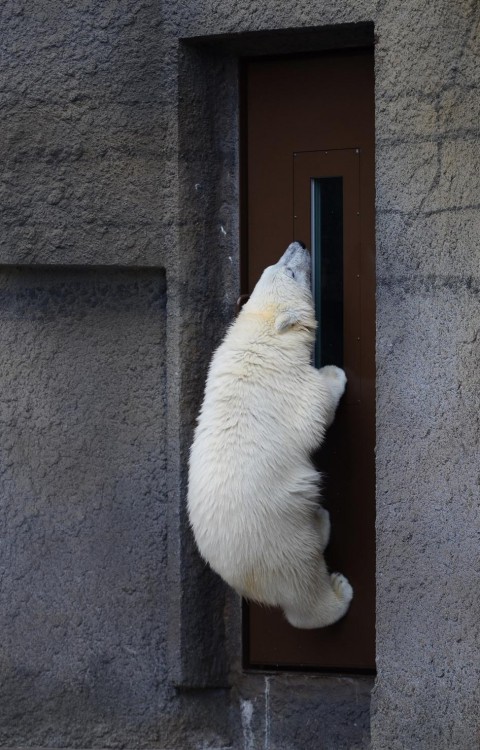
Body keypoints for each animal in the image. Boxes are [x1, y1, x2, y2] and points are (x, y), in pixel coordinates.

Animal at [188, 241, 352, 628]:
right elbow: (314, 413)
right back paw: (336, 586)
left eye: (273, 265)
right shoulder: (287, 383)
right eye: (289, 271)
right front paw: (334, 375)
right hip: (278, 533)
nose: (299, 243)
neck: (261, 336)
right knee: (303, 583)